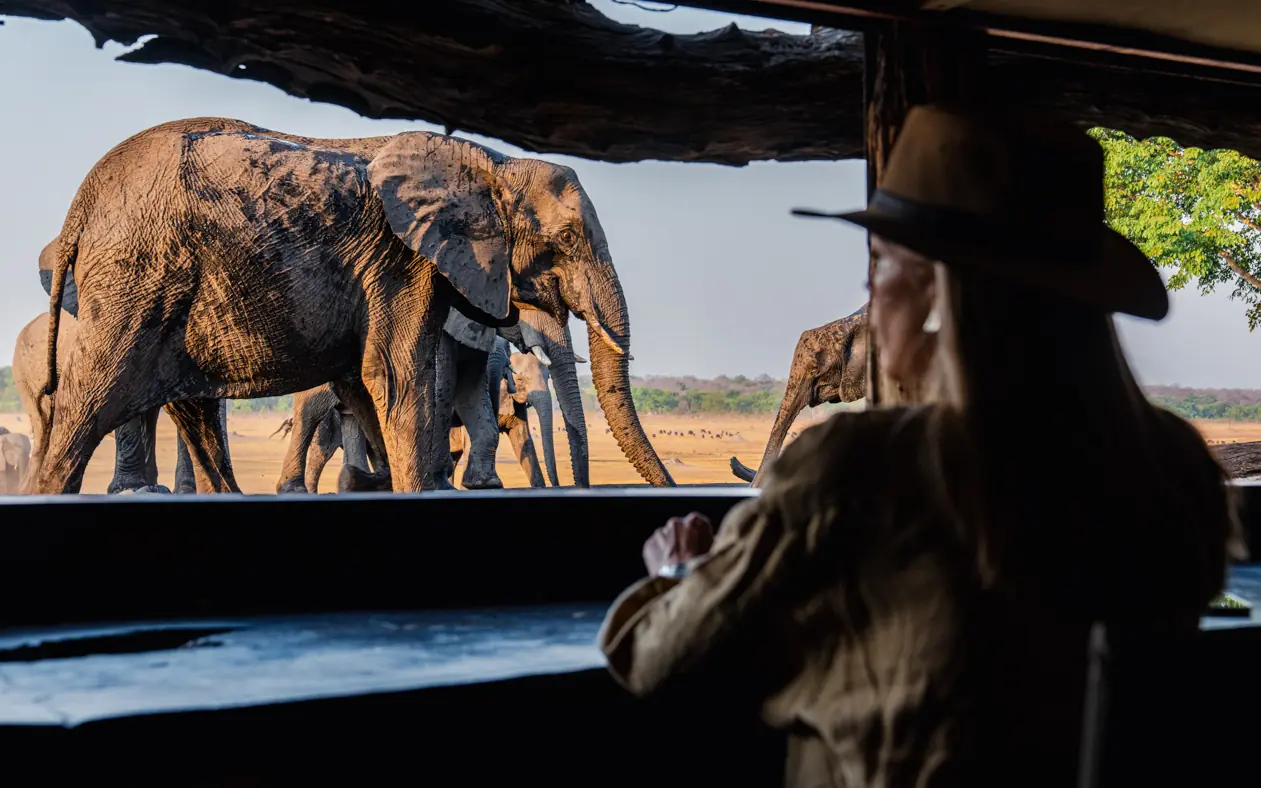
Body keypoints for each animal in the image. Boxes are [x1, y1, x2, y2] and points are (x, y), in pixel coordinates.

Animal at [28, 116, 672, 494]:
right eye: (565, 240)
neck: (489, 163)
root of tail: (79, 207)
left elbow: (365, 385)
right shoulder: (398, 262)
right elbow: (394, 374)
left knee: (194, 414)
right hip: (136, 282)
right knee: (87, 410)